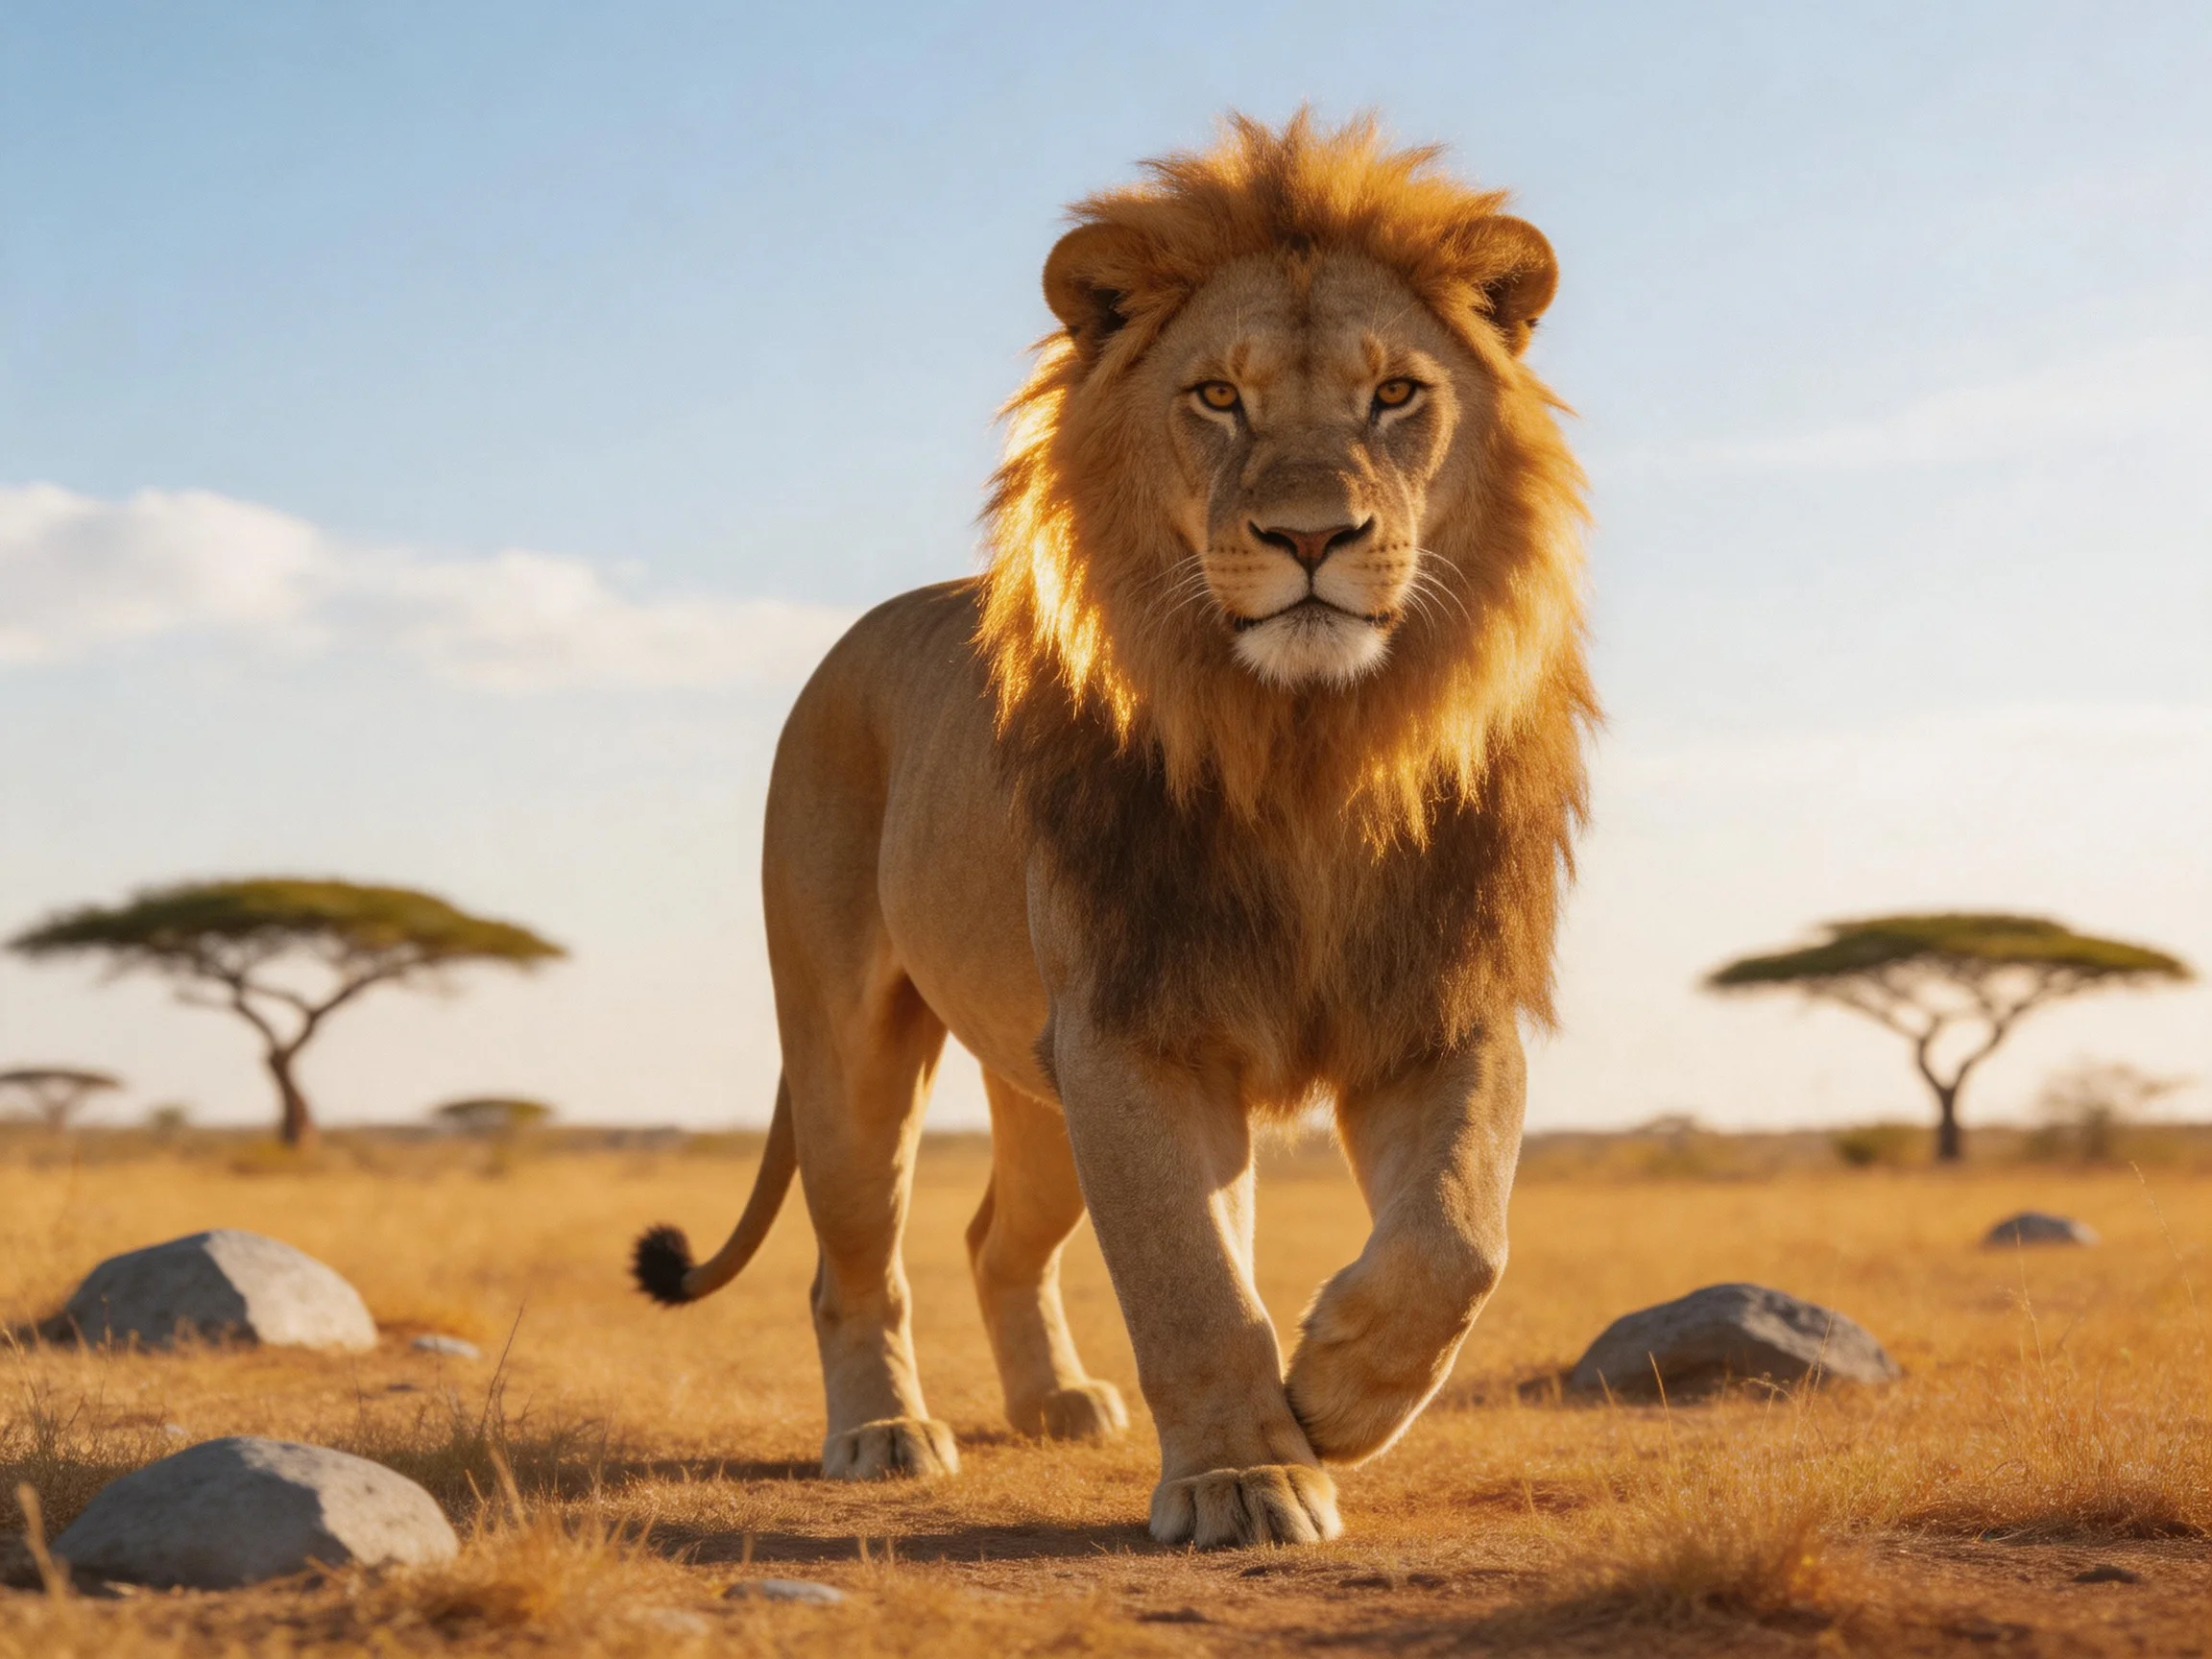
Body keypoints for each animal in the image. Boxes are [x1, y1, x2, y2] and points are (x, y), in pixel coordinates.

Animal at [631, 112, 1594, 1549]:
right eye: (1218, 398)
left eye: (1395, 395)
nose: (1311, 535)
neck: (1309, 744)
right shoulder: (1135, 1030)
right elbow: (1189, 1279)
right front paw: (1246, 1477)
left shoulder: (1436, 998)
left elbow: (1459, 1234)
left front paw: (1337, 1393)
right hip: (852, 1046)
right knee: (853, 1262)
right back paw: (883, 1432)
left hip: (1038, 1091)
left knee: (995, 1238)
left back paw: (1057, 1403)